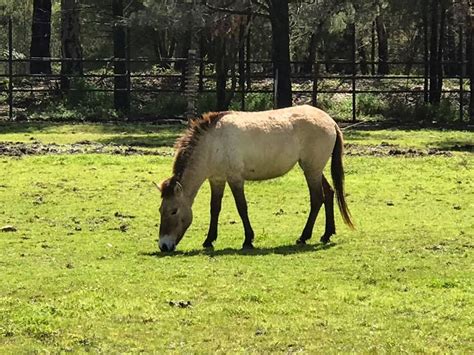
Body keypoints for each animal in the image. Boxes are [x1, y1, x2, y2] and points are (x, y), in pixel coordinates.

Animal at [157, 104, 354, 252]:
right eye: (160, 210)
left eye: (173, 211)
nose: (164, 246)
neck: (213, 143)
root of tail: (330, 121)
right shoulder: (217, 179)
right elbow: (215, 209)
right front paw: (209, 240)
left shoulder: (235, 179)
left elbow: (242, 208)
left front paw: (248, 240)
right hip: (314, 169)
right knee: (329, 193)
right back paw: (326, 234)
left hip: (311, 170)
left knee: (317, 199)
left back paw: (304, 237)